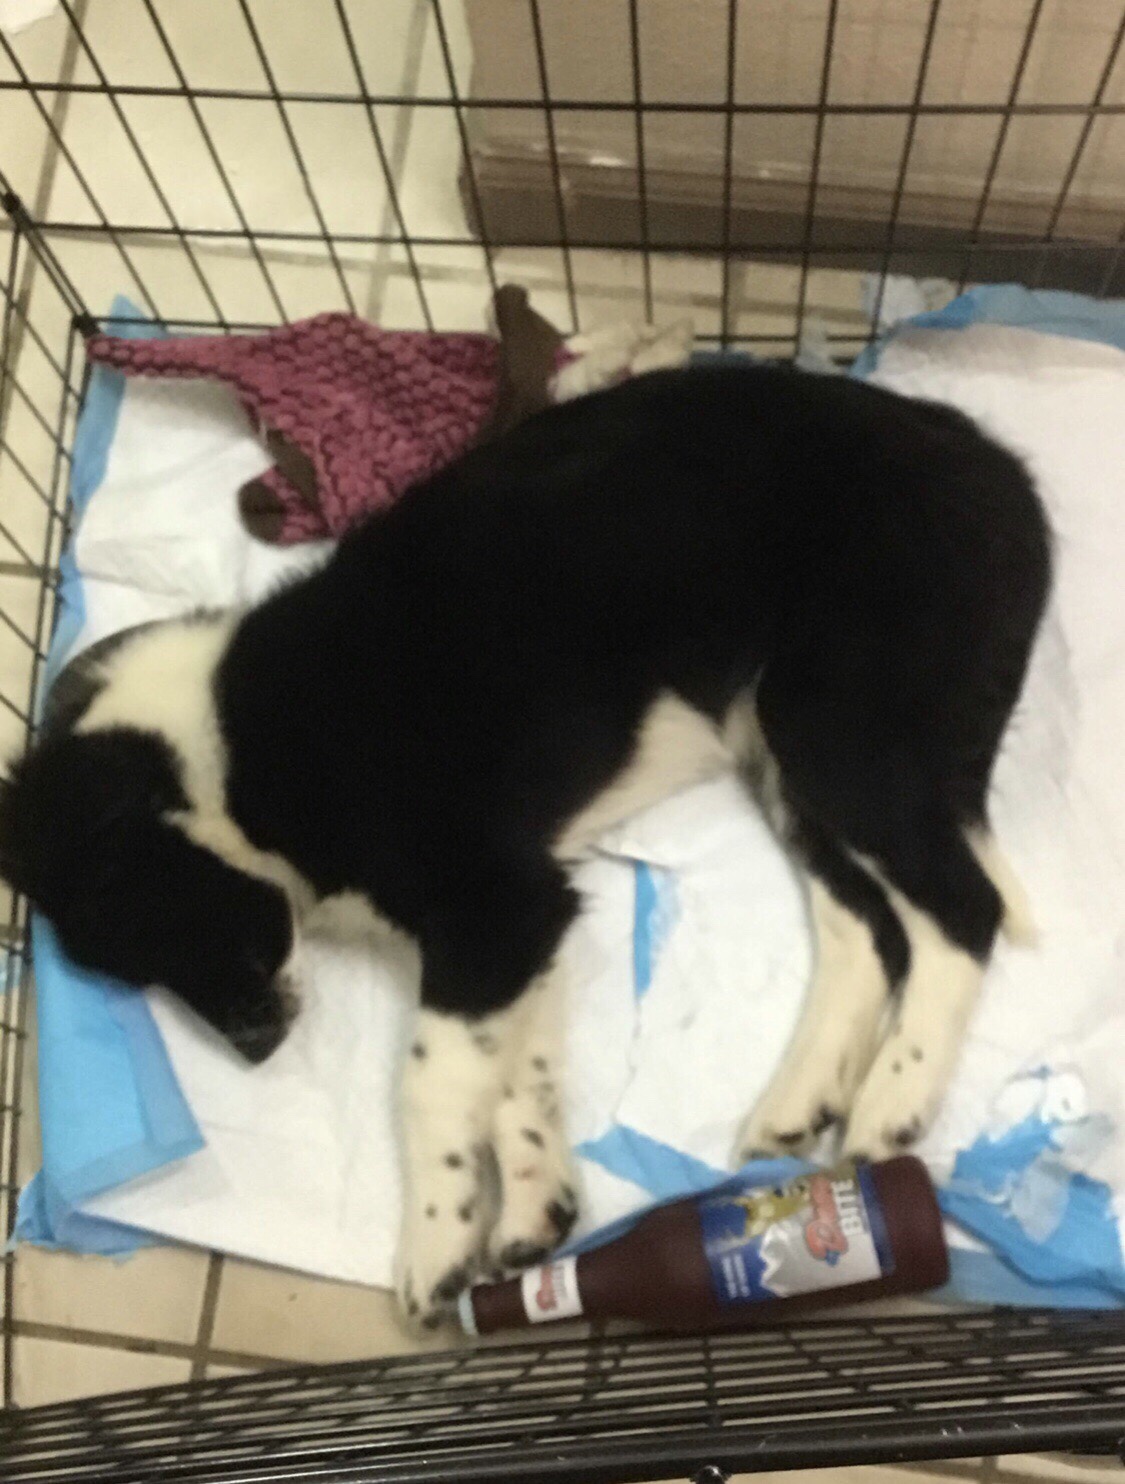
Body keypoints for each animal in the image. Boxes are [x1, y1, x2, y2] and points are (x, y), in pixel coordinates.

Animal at [0, 361, 1050, 1327]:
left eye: (172, 928)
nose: (258, 1052)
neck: (226, 755)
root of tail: (987, 459)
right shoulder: (520, 923)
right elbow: (514, 1070)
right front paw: (534, 1208)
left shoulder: (493, 905)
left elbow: (429, 1079)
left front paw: (434, 1244)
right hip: (786, 750)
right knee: (864, 925)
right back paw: (800, 1101)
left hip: (837, 723)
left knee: (959, 907)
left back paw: (890, 1108)